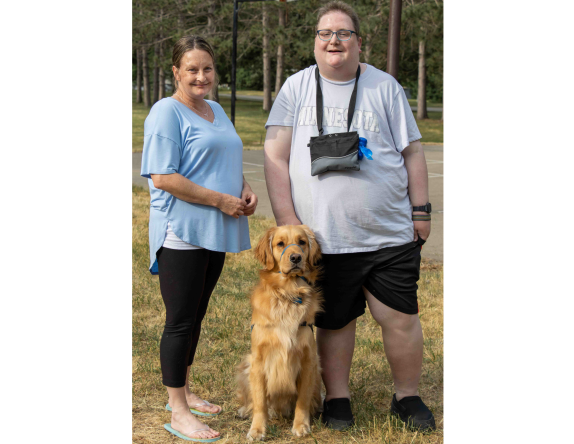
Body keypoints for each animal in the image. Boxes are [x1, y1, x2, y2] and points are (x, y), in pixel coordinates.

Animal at [235, 225, 324, 440]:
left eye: (302, 242)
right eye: (280, 244)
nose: (296, 258)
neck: (287, 295)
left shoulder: (308, 361)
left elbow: (302, 400)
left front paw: (301, 425)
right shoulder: (258, 361)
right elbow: (259, 402)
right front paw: (257, 429)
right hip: (246, 365)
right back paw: (244, 410)